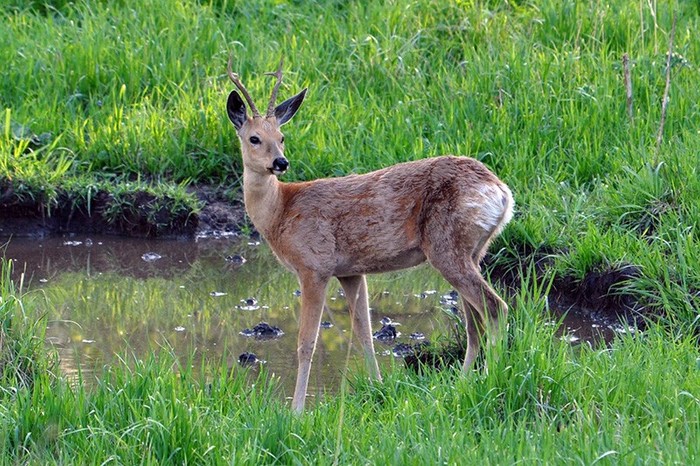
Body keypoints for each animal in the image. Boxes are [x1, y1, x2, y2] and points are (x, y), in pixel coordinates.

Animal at [226, 57, 516, 412]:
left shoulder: (314, 266)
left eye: (281, 136)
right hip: (474, 250)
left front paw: (296, 410)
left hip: (447, 247)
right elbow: (364, 332)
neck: (280, 211)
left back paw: (491, 378)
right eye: (254, 138)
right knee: (474, 322)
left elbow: (306, 342)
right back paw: (464, 382)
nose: (280, 162)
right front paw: (378, 388)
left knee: (494, 308)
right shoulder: (351, 271)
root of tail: (501, 192)